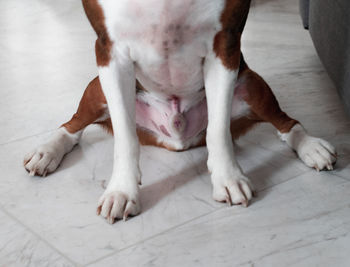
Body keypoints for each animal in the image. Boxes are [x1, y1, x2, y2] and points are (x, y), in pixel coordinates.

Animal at [23, 0, 338, 224]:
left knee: (286, 122)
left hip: (250, 84)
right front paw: (122, 191)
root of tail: (176, 140)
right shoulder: (110, 51)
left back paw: (312, 147)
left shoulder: (225, 45)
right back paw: (47, 152)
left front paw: (228, 179)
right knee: (73, 125)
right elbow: (125, 137)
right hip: (97, 88)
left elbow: (218, 130)